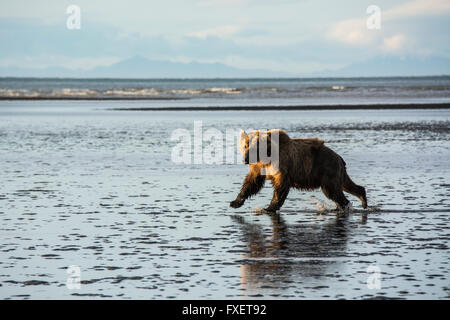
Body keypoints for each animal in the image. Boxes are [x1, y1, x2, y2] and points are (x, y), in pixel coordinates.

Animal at [230, 129, 368, 214]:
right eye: (245, 145)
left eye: (254, 147)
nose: (245, 159)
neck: (267, 157)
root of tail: (339, 157)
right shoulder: (260, 167)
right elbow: (252, 182)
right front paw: (235, 202)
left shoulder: (283, 165)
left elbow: (280, 186)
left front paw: (269, 208)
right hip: (336, 171)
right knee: (346, 185)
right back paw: (360, 200)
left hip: (327, 169)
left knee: (332, 190)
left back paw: (345, 206)